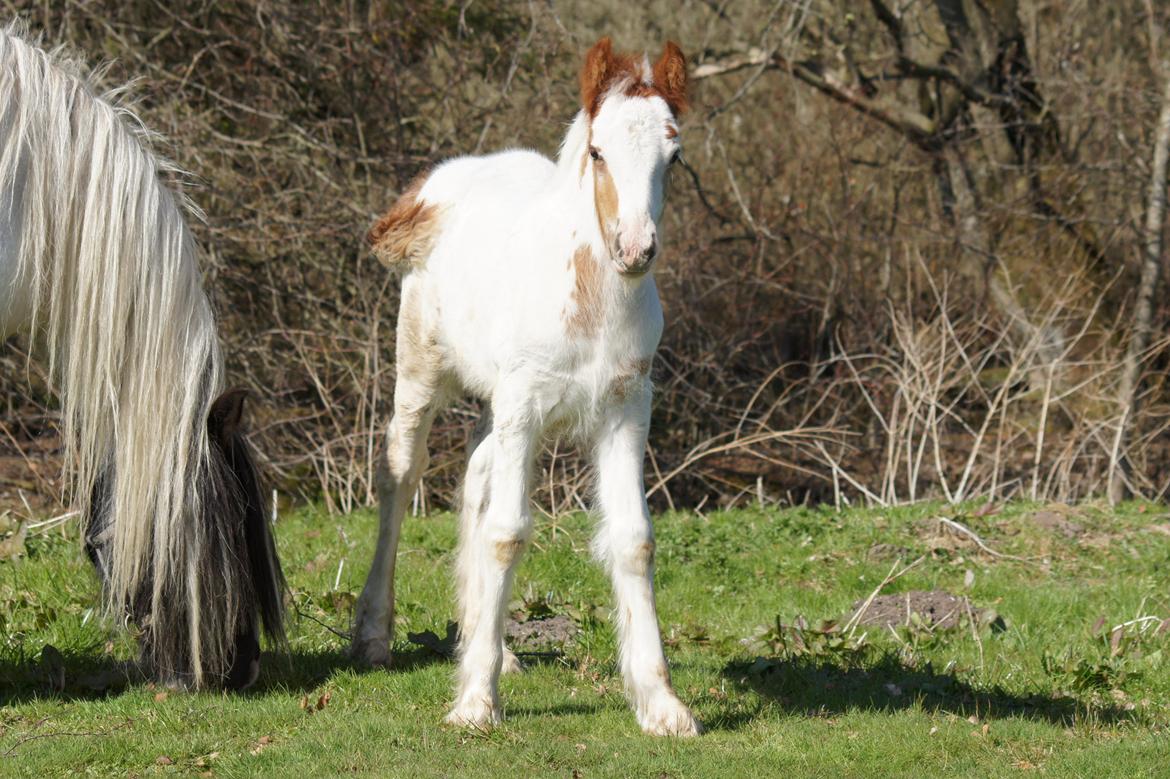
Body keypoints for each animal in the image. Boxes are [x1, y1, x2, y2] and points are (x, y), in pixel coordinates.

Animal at [348, 36, 692, 734]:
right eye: (598, 152)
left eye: (675, 156)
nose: (635, 248)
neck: (592, 303)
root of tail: (435, 185)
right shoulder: (525, 405)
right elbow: (507, 534)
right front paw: (475, 703)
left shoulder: (626, 408)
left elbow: (634, 541)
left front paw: (661, 703)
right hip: (424, 369)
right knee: (400, 473)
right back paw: (374, 636)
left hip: (496, 405)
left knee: (475, 479)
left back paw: (493, 645)